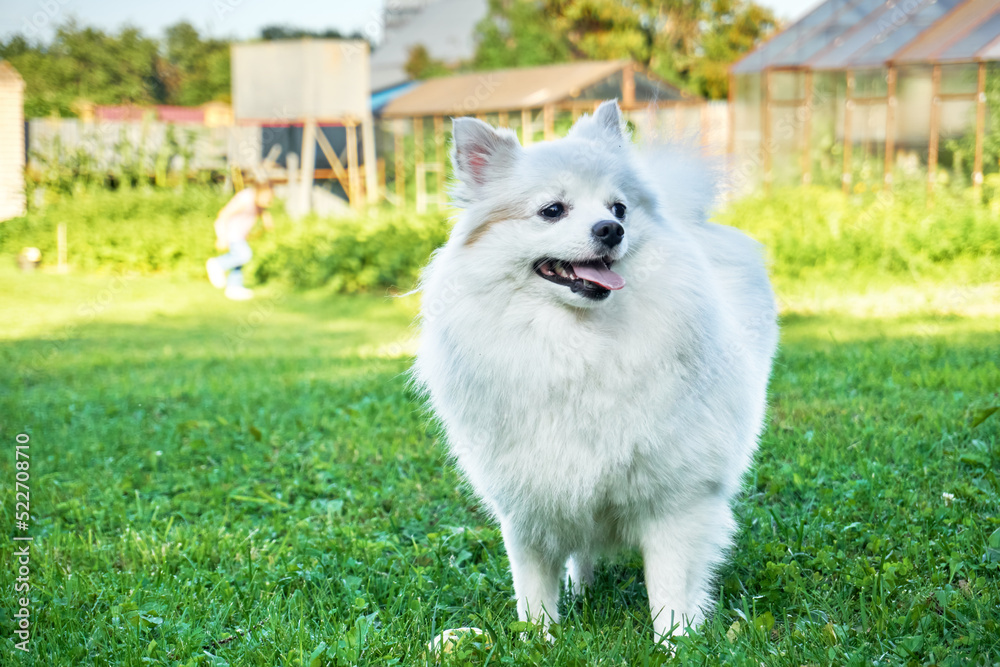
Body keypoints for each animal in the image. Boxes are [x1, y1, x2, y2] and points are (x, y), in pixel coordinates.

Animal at [410, 100, 776, 640]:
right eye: (552, 210)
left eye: (618, 208)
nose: (610, 230)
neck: (577, 343)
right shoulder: (527, 504)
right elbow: (534, 587)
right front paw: (539, 641)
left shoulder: (677, 501)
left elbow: (669, 588)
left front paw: (675, 643)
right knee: (580, 552)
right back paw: (582, 591)